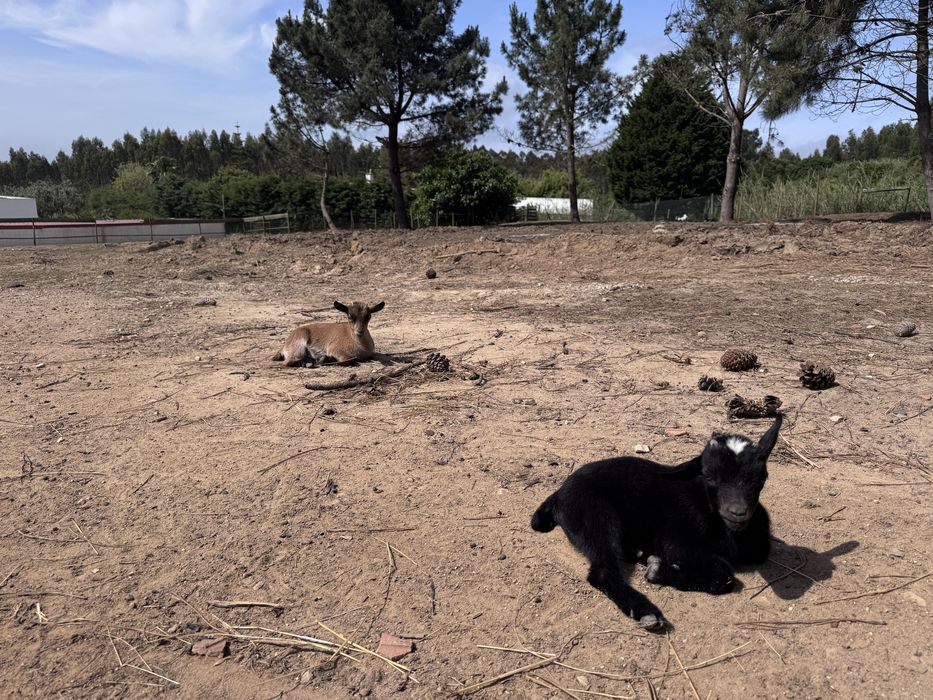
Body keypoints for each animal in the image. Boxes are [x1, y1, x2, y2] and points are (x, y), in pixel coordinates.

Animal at [531, 415, 781, 630]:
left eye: (762, 477)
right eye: (709, 475)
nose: (738, 512)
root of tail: (559, 493)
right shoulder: (677, 541)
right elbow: (725, 574)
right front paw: (658, 571)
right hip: (595, 516)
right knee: (602, 570)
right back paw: (645, 610)